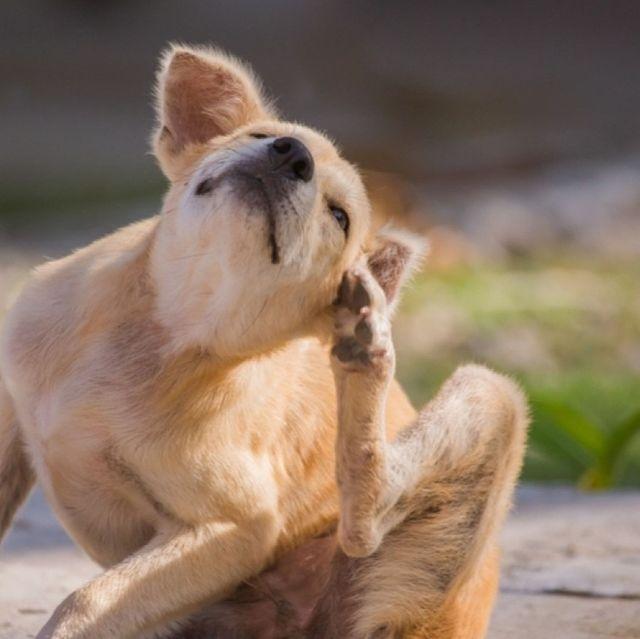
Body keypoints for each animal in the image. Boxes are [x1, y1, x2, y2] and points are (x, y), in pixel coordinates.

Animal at [0, 45, 528, 639]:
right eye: (262, 136)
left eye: (339, 217)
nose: (291, 155)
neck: (167, 328)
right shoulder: (9, 419)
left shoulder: (236, 528)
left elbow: (88, 600)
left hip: (491, 397)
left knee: (365, 523)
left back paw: (365, 349)